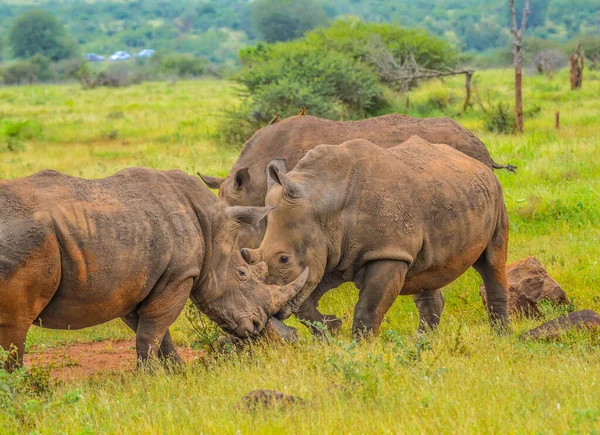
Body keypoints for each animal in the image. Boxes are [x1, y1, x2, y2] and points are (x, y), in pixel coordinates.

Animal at [0, 169, 308, 370]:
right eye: (242, 275)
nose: (257, 325)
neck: (211, 228)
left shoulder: (133, 285)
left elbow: (154, 330)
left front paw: (177, 372)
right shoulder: (179, 275)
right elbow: (153, 331)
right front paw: (148, 377)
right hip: (24, 241)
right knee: (15, 328)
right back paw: (22, 388)